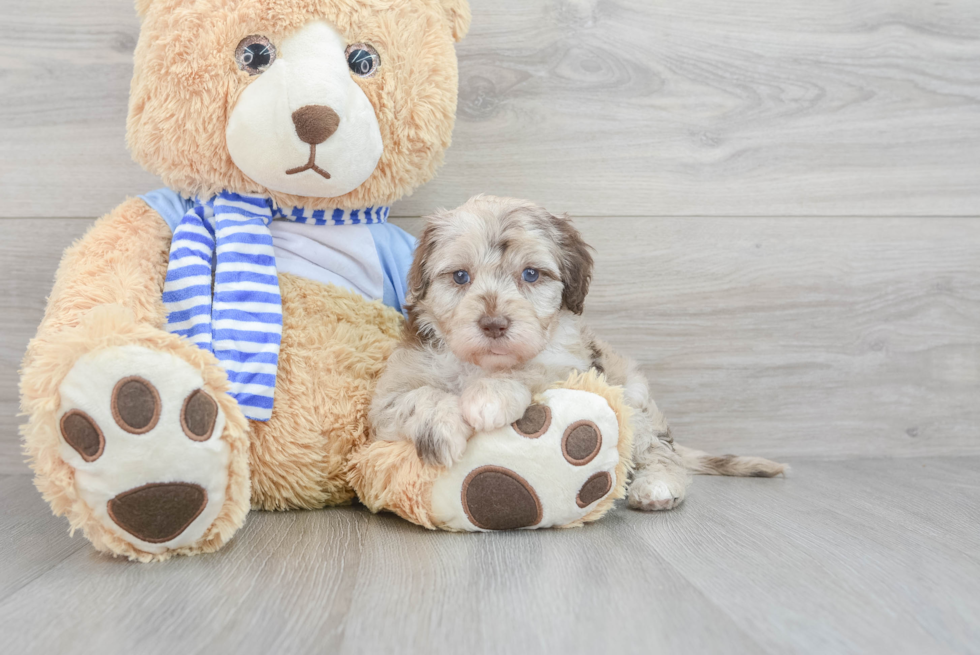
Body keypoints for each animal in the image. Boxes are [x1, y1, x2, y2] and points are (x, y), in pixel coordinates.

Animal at [368, 192, 780, 510]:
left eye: (531, 274)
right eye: (459, 276)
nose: (494, 324)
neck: (480, 364)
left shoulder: (573, 368)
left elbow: (532, 369)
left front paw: (491, 395)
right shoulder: (388, 396)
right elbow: (419, 397)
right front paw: (442, 430)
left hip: (634, 401)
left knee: (659, 449)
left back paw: (658, 487)